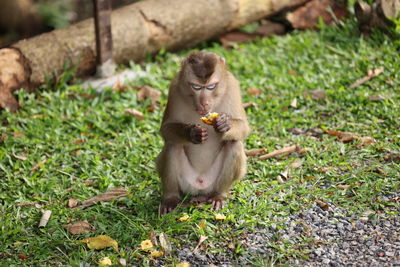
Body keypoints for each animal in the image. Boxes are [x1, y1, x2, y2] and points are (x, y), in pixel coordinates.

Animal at [156, 51, 250, 216]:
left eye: (211, 86)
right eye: (196, 87)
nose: (204, 103)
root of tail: (200, 186)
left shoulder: (232, 86)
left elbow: (244, 128)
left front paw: (225, 124)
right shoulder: (175, 88)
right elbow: (166, 129)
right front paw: (191, 133)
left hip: (212, 182)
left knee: (234, 144)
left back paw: (218, 196)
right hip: (186, 182)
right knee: (173, 145)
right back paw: (171, 198)